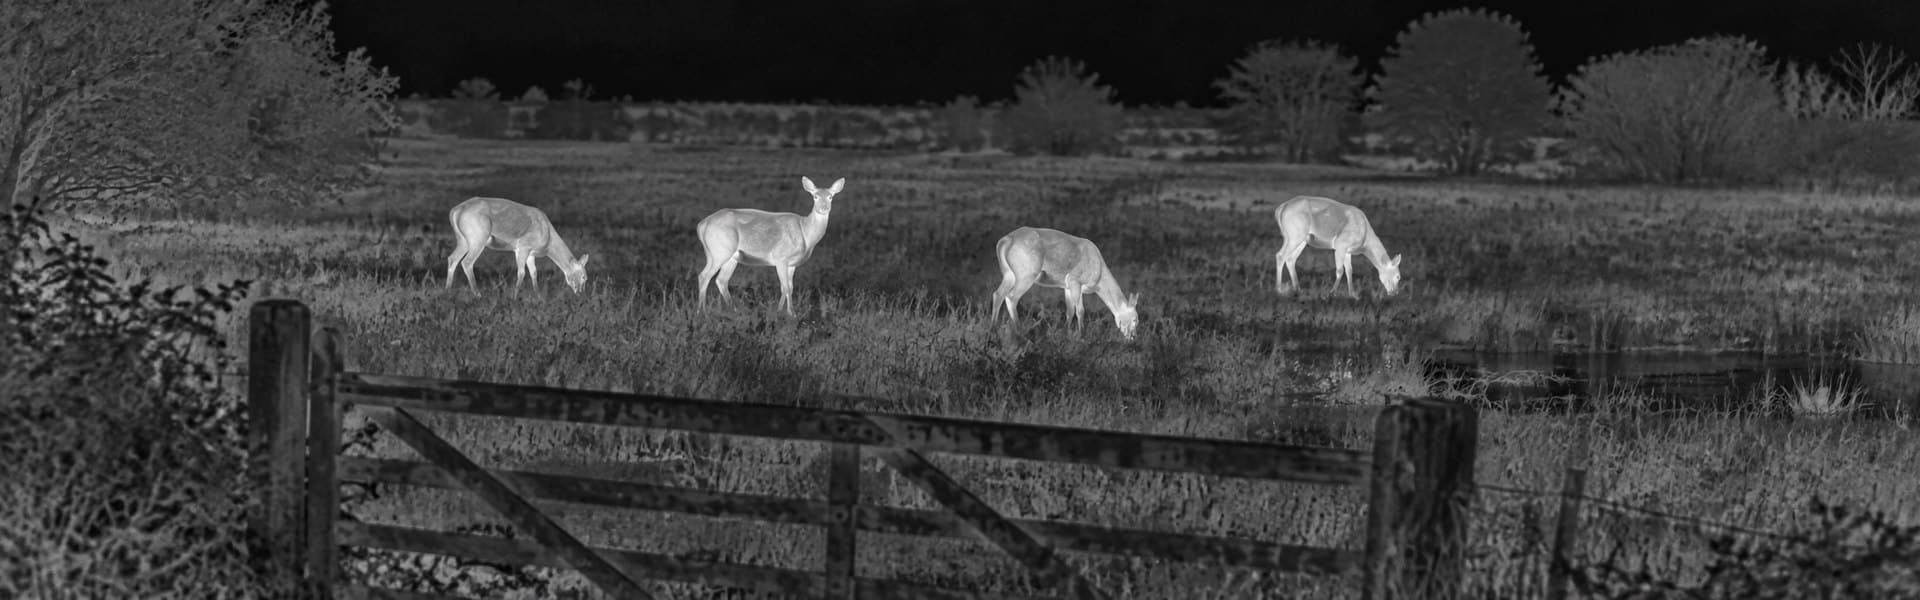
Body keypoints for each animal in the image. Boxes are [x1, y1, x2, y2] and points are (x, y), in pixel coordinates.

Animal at [444, 196, 591, 296]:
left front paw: (538, 295)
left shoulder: (531, 253)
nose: (581, 293)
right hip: (478, 237)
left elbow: (534, 272)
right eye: (584, 277)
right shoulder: (522, 246)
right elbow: (521, 272)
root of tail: (455, 211)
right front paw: (515, 296)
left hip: (463, 240)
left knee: (452, 258)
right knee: (467, 262)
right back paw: (478, 294)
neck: (548, 239)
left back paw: (448, 290)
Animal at [695, 176, 846, 316]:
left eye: (831, 196)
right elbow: (785, 287)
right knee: (704, 276)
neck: (805, 233)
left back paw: (734, 310)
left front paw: (786, 312)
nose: (824, 208)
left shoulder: (792, 264)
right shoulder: (781, 257)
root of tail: (701, 225)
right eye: (815, 196)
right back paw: (701, 312)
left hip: (728, 256)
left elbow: (790, 287)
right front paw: (785, 313)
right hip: (720, 251)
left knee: (721, 280)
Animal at [989, 227, 1142, 341]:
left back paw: (993, 329)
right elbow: (1080, 310)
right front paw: (1082, 335)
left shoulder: (1067, 287)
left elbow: (1070, 311)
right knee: (1012, 297)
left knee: (998, 294)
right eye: (1135, 319)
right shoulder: (1075, 281)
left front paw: (1065, 333)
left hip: (1009, 275)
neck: (1099, 272)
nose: (1133, 338)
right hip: (1026, 275)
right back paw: (1020, 331)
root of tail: (1005, 240)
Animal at [1274, 195, 1402, 297]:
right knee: (1280, 255)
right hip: (1295, 236)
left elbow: (1349, 270)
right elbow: (1340, 270)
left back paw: (1298, 289)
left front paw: (1352, 293)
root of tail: (1280, 209)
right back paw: (1279, 289)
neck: (1365, 238)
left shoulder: (1348, 251)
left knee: (1290, 259)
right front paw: (1332, 292)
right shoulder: (1340, 245)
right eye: (1398, 276)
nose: (1395, 293)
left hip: (1300, 239)